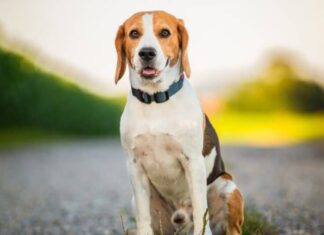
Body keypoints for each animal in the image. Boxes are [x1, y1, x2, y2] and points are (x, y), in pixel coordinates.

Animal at [115, 11, 244, 235]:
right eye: (134, 33)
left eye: (165, 32)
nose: (146, 53)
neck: (155, 99)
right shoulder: (135, 165)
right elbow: (143, 216)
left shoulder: (193, 161)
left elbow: (201, 209)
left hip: (227, 186)